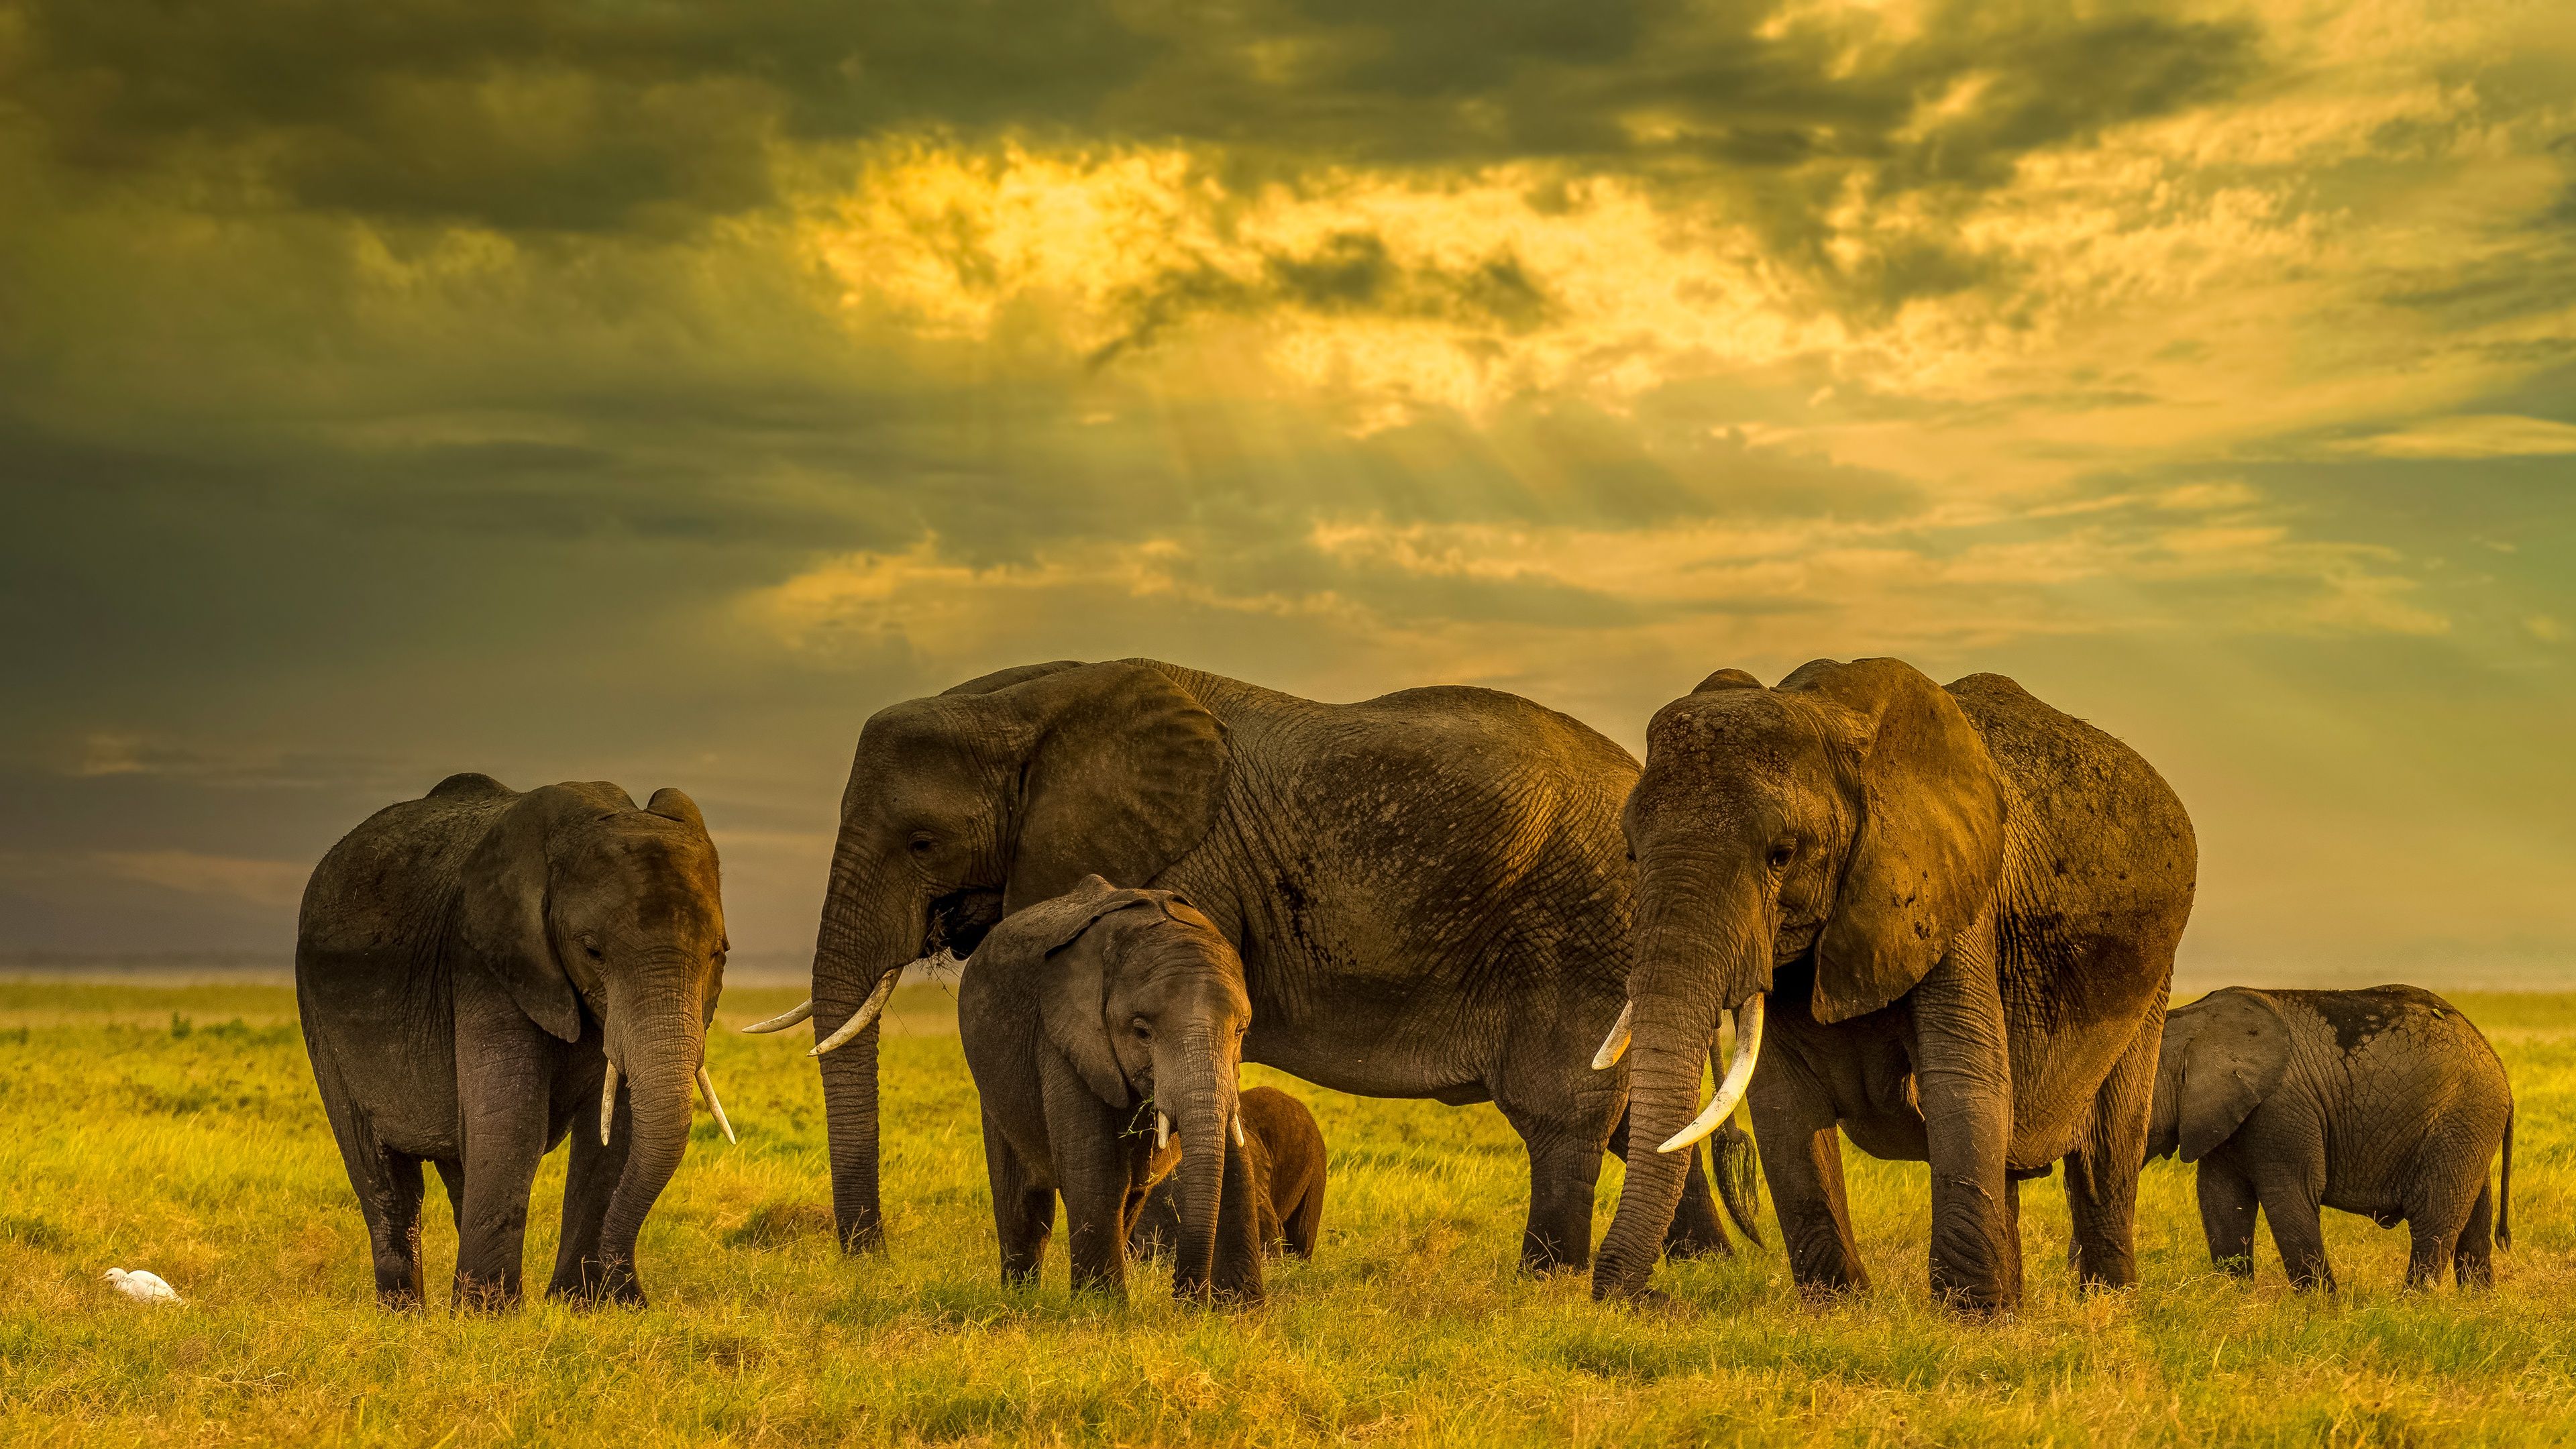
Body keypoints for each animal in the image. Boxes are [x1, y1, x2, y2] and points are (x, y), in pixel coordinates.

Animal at [296, 774, 735, 1309]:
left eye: (719, 954)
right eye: (592, 951)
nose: (630, 1290)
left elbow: (615, 1130)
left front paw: (587, 1306)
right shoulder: (484, 964)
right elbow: (514, 1121)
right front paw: (492, 1315)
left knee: (460, 1161)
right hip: (319, 1017)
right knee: (383, 1176)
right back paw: (405, 1315)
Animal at [958, 874, 1266, 1303]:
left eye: (1240, 1031)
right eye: (1141, 1032)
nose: (1185, 1300)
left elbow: (1234, 1154)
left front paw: (1239, 1310)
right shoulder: (1062, 1038)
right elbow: (1097, 1167)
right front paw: (1101, 1308)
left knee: (1131, 1198)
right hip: (994, 1089)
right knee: (1023, 1205)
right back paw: (1020, 1299)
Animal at [1591, 659, 2197, 1313]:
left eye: (1781, 855)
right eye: (1631, 852)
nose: (1648, 1296)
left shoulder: (1949, 896)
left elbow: (1962, 1079)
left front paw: (1970, 1319)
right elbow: (1782, 1099)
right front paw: (1839, 1307)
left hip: (2151, 977)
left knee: (2107, 1152)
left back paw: (2108, 1304)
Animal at [2149, 985, 2513, 1291]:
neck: (2196, 1025)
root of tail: (2498, 1064)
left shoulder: (2283, 1110)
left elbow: (2289, 1196)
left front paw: (2321, 1308)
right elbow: (2221, 1200)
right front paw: (2233, 1300)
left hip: (2461, 1119)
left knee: (2433, 1221)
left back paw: (2411, 1308)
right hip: (2469, 1129)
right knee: (2475, 1224)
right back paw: (2476, 1306)